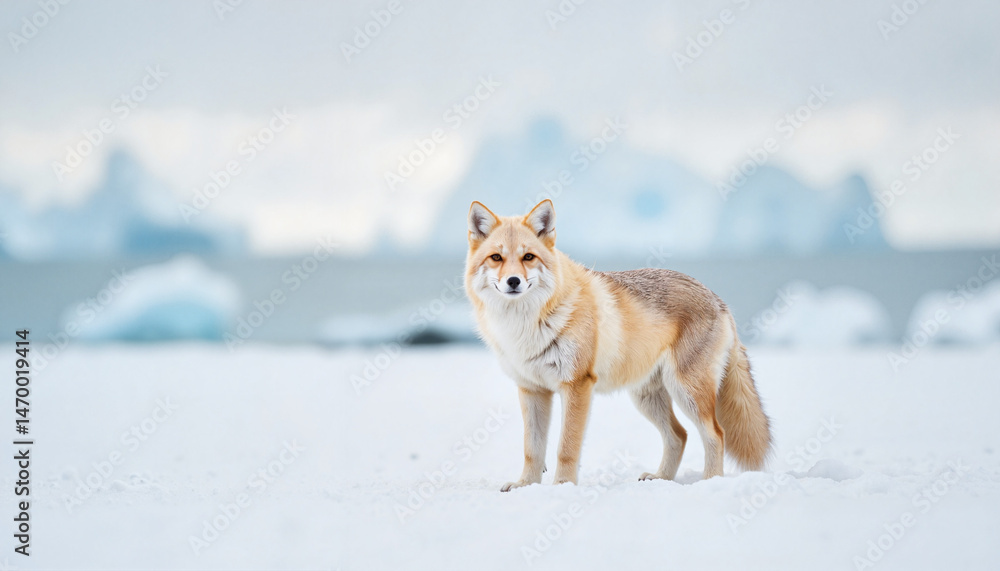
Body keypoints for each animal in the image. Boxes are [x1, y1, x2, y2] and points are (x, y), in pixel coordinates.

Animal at [464, 199, 772, 491]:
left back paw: (709, 482)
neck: (525, 326)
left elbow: (566, 448)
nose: (513, 281)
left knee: (715, 434)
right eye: (496, 258)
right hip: (647, 398)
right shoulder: (532, 390)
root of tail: (719, 299)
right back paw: (661, 479)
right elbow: (532, 450)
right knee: (680, 435)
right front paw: (526, 485)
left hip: (687, 392)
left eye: (528, 257)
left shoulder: (576, 385)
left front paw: (562, 487)